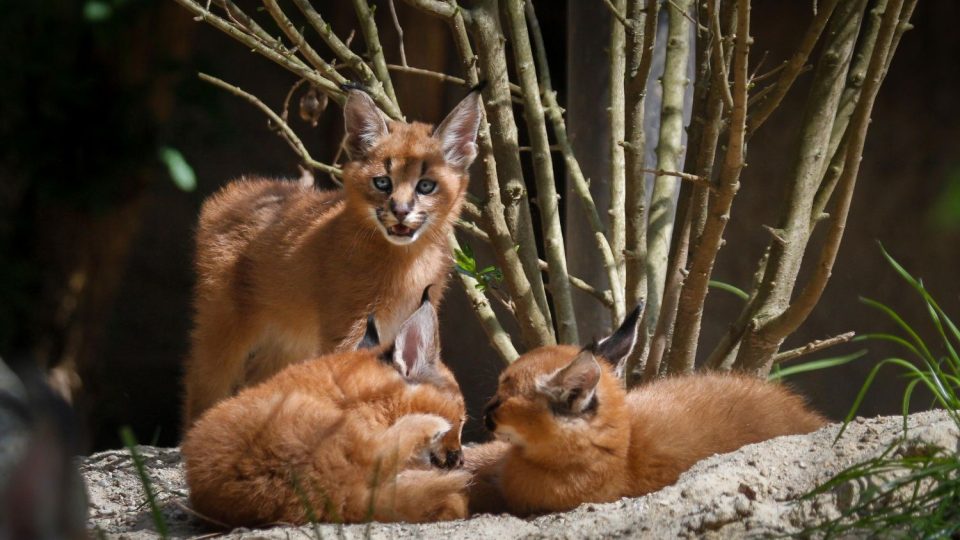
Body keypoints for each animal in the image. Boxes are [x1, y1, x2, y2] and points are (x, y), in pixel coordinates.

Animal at [182, 88, 480, 424]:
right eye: (382, 182)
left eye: (426, 186)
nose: (401, 211)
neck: (407, 261)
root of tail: (241, 187)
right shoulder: (350, 329)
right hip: (224, 325)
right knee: (204, 383)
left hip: (290, 340)